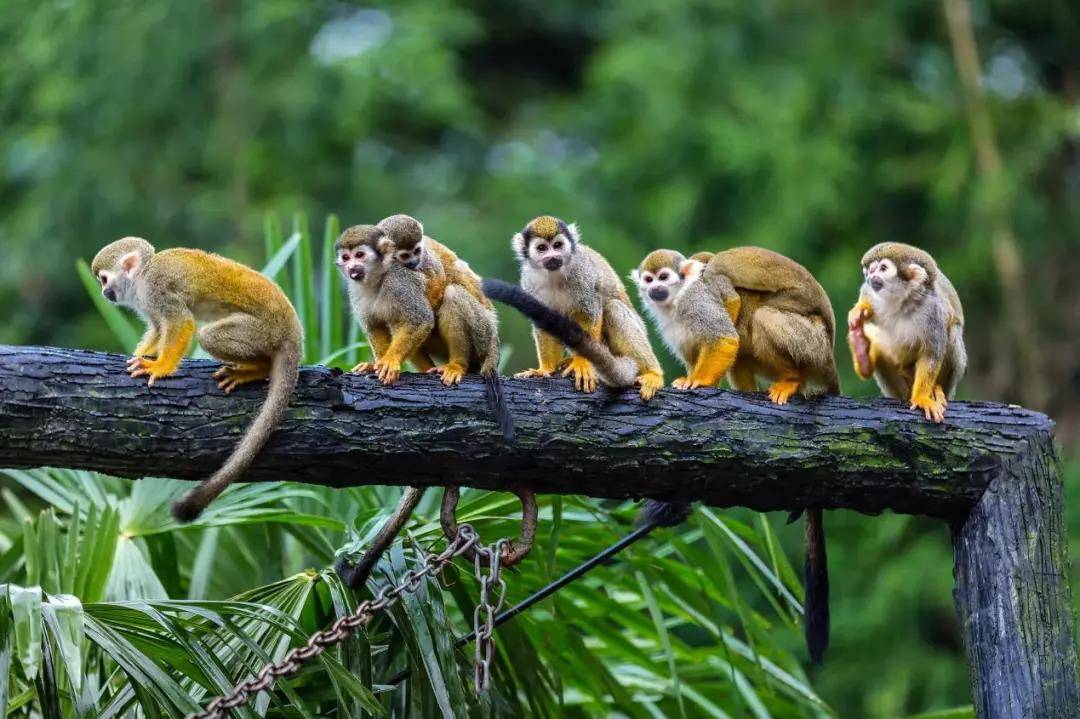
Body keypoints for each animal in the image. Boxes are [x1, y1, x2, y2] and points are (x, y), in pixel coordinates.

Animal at [91, 237, 302, 518]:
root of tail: (293, 328)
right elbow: (158, 328)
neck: (143, 274)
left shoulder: (157, 288)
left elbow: (181, 323)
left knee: (207, 335)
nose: (105, 293)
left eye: (104, 279)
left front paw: (160, 368)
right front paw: (141, 356)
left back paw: (259, 369)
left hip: (264, 330)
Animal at [332, 222, 514, 436]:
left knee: (452, 293)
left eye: (359, 255)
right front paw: (376, 364)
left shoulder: (400, 280)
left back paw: (457, 364)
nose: (352, 268)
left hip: (483, 332)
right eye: (346, 257)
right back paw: (429, 370)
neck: (377, 278)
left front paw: (390, 361)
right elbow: (375, 326)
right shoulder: (355, 290)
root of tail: (494, 340)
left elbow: (420, 319)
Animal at [483, 212, 660, 403]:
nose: (553, 256)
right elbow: (543, 320)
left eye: (557, 246)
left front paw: (582, 362)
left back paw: (653, 373)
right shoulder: (528, 280)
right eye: (542, 248)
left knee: (613, 308)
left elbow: (590, 312)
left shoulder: (581, 272)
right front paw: (546, 369)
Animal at [630, 246, 838, 660]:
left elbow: (724, 338)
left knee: (757, 317)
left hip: (812, 345)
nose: (656, 290)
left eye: (665, 278)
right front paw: (690, 376)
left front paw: (697, 383)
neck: (676, 302)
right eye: (649, 281)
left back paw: (790, 378)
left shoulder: (699, 300)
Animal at [846, 241, 967, 421]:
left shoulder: (932, 310)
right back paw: (862, 354)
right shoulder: (872, 292)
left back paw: (936, 388)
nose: (870, 277)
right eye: (870, 270)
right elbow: (866, 292)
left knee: (953, 331)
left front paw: (921, 397)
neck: (902, 302)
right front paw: (860, 308)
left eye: (883, 268)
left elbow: (931, 354)